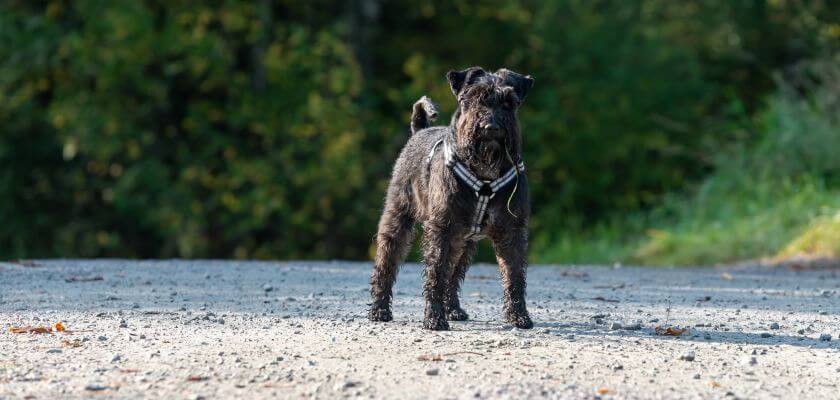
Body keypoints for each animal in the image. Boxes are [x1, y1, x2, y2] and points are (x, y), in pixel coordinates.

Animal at [366, 66, 532, 332]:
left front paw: (519, 316)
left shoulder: (512, 230)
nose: (491, 127)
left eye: (509, 102)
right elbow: (436, 271)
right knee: (386, 263)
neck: (484, 175)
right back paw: (379, 309)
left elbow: (514, 273)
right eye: (471, 98)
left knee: (453, 275)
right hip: (398, 220)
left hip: (464, 242)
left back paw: (453, 309)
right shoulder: (442, 228)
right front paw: (434, 318)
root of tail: (419, 130)